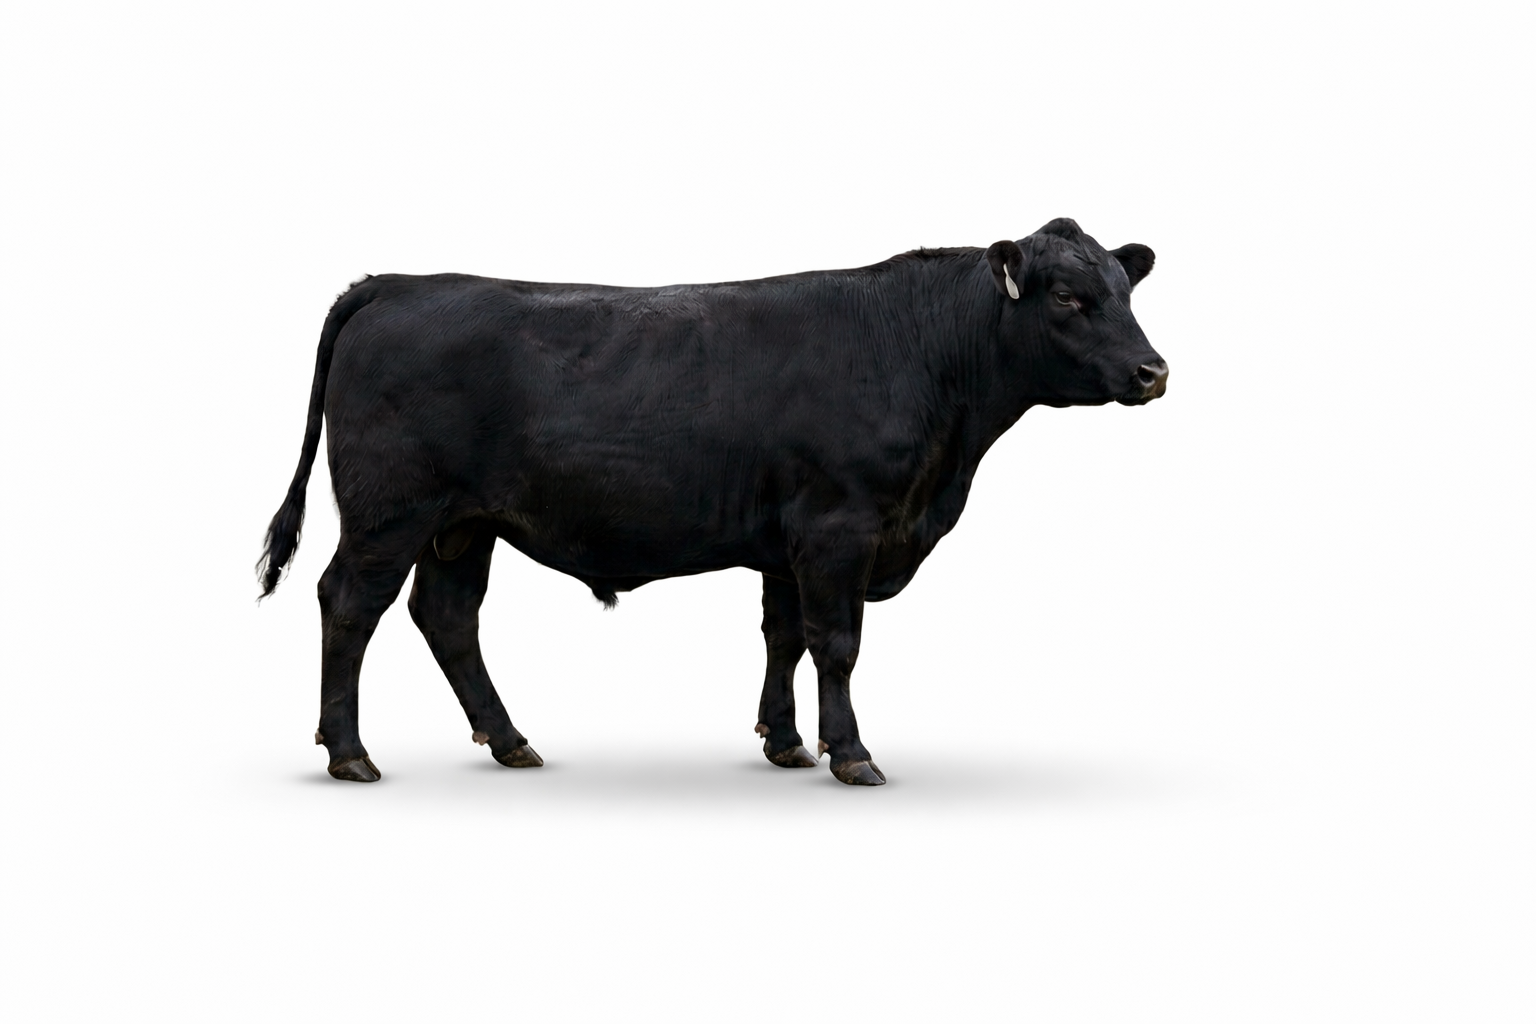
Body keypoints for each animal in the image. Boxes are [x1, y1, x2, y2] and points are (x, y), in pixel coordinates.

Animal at [259, 217, 1167, 786]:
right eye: (1067, 297)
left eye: (1126, 292)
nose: (1154, 371)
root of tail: (395, 282)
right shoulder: (838, 527)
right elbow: (837, 644)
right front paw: (850, 752)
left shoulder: (788, 543)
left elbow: (784, 639)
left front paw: (787, 742)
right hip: (390, 513)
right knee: (350, 604)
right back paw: (349, 753)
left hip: (464, 523)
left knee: (447, 616)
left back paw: (510, 741)